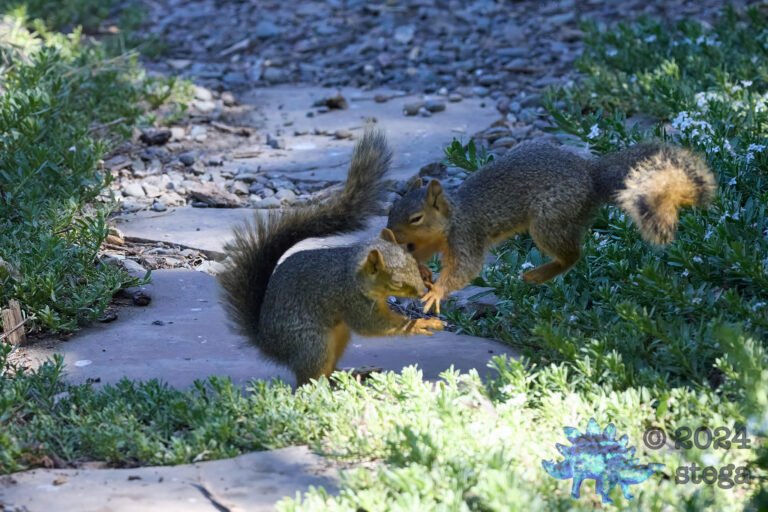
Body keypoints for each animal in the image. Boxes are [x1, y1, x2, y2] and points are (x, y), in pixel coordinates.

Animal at [218, 128, 443, 386]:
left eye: (412, 264)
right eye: (396, 282)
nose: (422, 291)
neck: (355, 271)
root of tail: (268, 344)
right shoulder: (352, 300)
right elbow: (375, 326)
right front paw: (422, 323)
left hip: (339, 335)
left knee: (327, 372)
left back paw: (354, 374)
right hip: (313, 343)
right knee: (308, 380)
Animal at [386, 141, 716, 313]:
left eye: (415, 217)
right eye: (391, 211)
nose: (389, 233)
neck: (450, 218)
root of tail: (591, 178)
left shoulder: (465, 235)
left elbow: (465, 268)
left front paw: (436, 292)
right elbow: (420, 255)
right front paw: (421, 269)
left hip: (549, 218)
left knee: (572, 255)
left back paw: (537, 275)